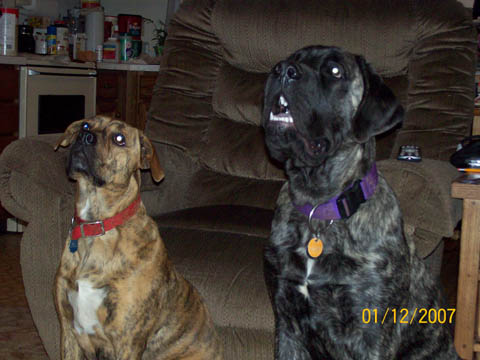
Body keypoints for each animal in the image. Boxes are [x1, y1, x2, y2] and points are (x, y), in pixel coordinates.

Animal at [54, 116, 223, 360]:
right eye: (86, 125)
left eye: (119, 138)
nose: (84, 137)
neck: (98, 226)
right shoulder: (68, 331)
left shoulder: (128, 341)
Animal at [262, 47, 462, 360]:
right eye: (293, 57)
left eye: (335, 71)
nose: (282, 70)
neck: (318, 205)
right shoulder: (286, 321)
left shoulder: (370, 333)